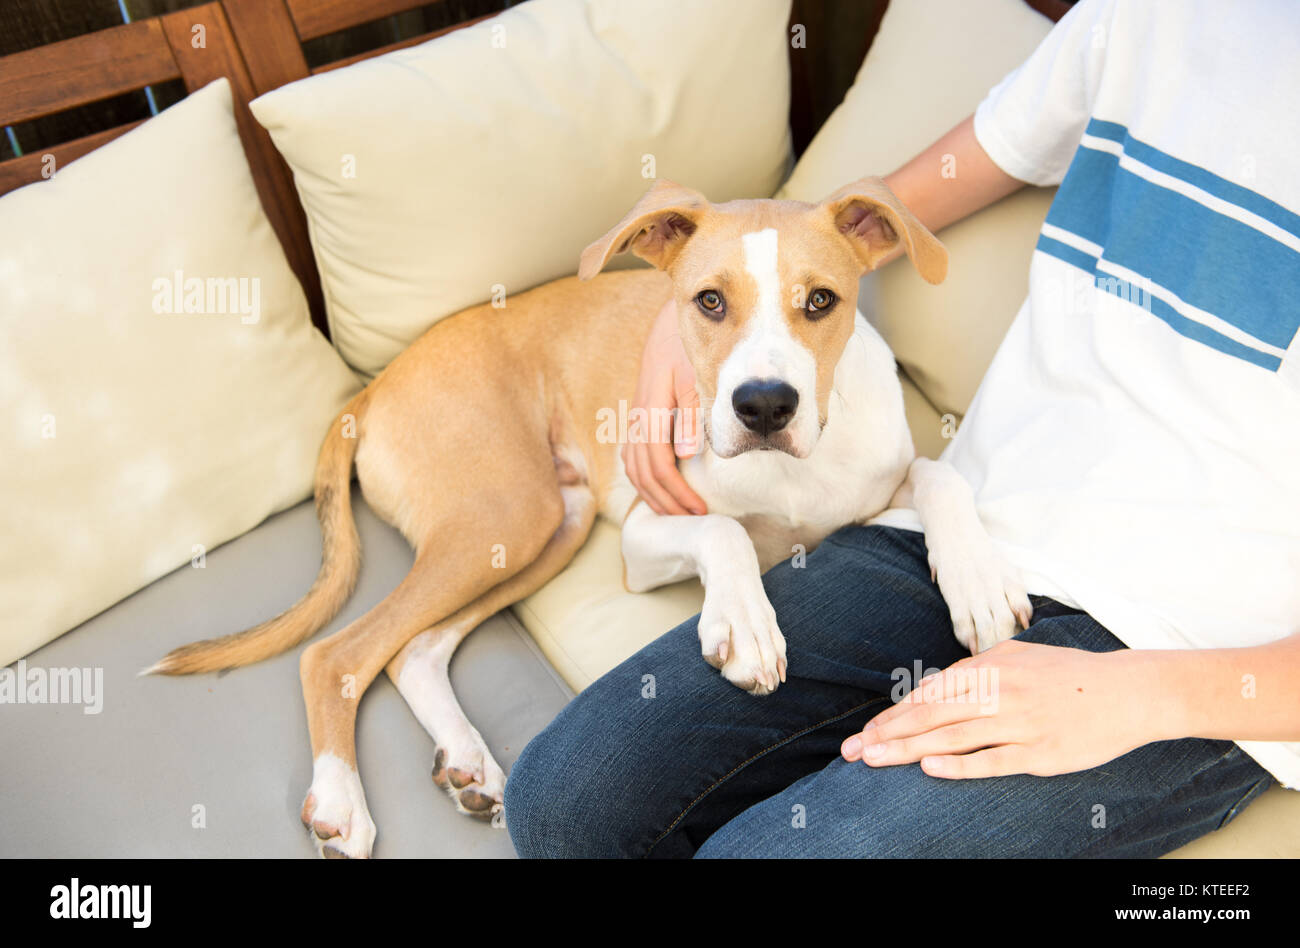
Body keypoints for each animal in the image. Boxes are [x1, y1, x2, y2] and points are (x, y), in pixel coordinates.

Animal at [147, 176, 1029, 858]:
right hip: (508, 515)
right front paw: (745, 624)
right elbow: (727, 530)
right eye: (708, 302)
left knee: (414, 652)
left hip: (542, 525)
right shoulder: (643, 534)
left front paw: (979, 582)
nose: (764, 406)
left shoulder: (878, 493)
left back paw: (466, 761)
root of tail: (370, 387)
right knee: (336, 653)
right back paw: (339, 802)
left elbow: (940, 477)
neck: (790, 472)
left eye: (822, 302)